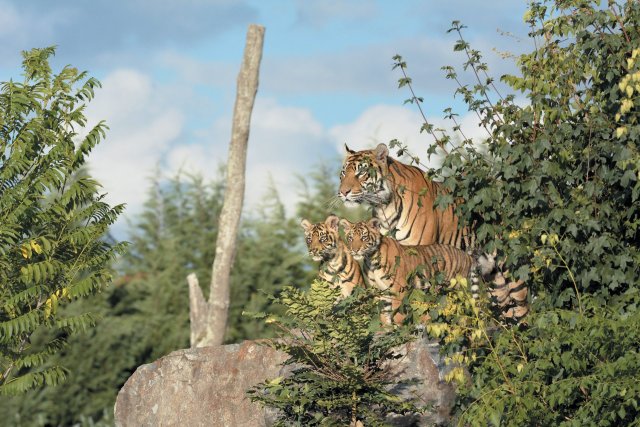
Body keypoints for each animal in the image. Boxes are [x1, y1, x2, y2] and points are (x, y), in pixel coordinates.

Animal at [342, 219, 472, 326]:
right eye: (350, 238)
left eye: (364, 238)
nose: (354, 250)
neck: (371, 260)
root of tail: (466, 255)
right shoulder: (379, 291)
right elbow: (384, 313)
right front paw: (386, 329)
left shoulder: (398, 288)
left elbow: (397, 310)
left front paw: (399, 325)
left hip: (459, 290)